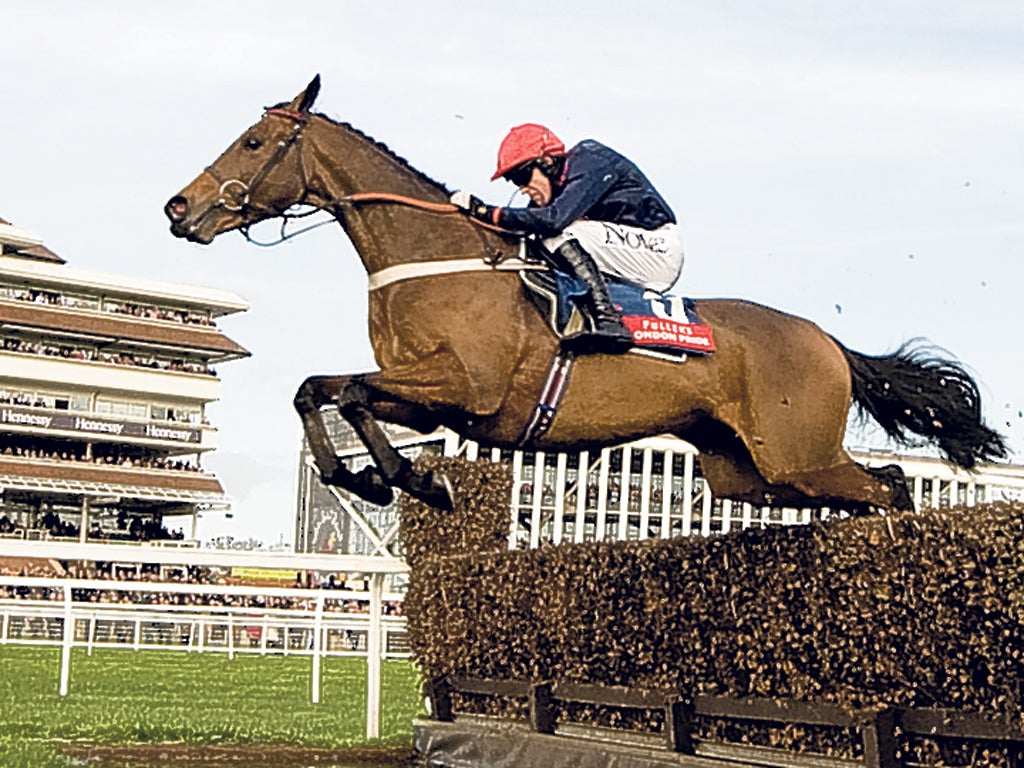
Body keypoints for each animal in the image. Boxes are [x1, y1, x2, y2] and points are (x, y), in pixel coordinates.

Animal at [163, 75, 1003, 514]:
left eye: (252, 142)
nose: (178, 207)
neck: (437, 261)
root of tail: (829, 344)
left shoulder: (465, 386)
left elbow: (346, 393)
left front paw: (409, 478)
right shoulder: (431, 399)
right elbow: (325, 390)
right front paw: (380, 476)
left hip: (798, 454)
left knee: (890, 490)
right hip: (753, 471)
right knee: (877, 488)